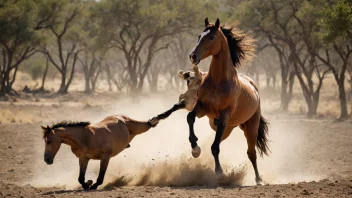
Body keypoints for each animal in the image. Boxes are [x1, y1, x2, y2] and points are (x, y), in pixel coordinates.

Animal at [187, 18, 270, 186]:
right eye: (199, 35)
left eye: (211, 37)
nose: (193, 56)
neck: (219, 81)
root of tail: (253, 86)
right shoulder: (202, 107)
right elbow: (190, 117)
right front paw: (195, 148)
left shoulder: (224, 115)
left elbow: (215, 147)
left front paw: (220, 173)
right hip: (226, 128)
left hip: (250, 127)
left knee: (251, 152)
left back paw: (259, 180)